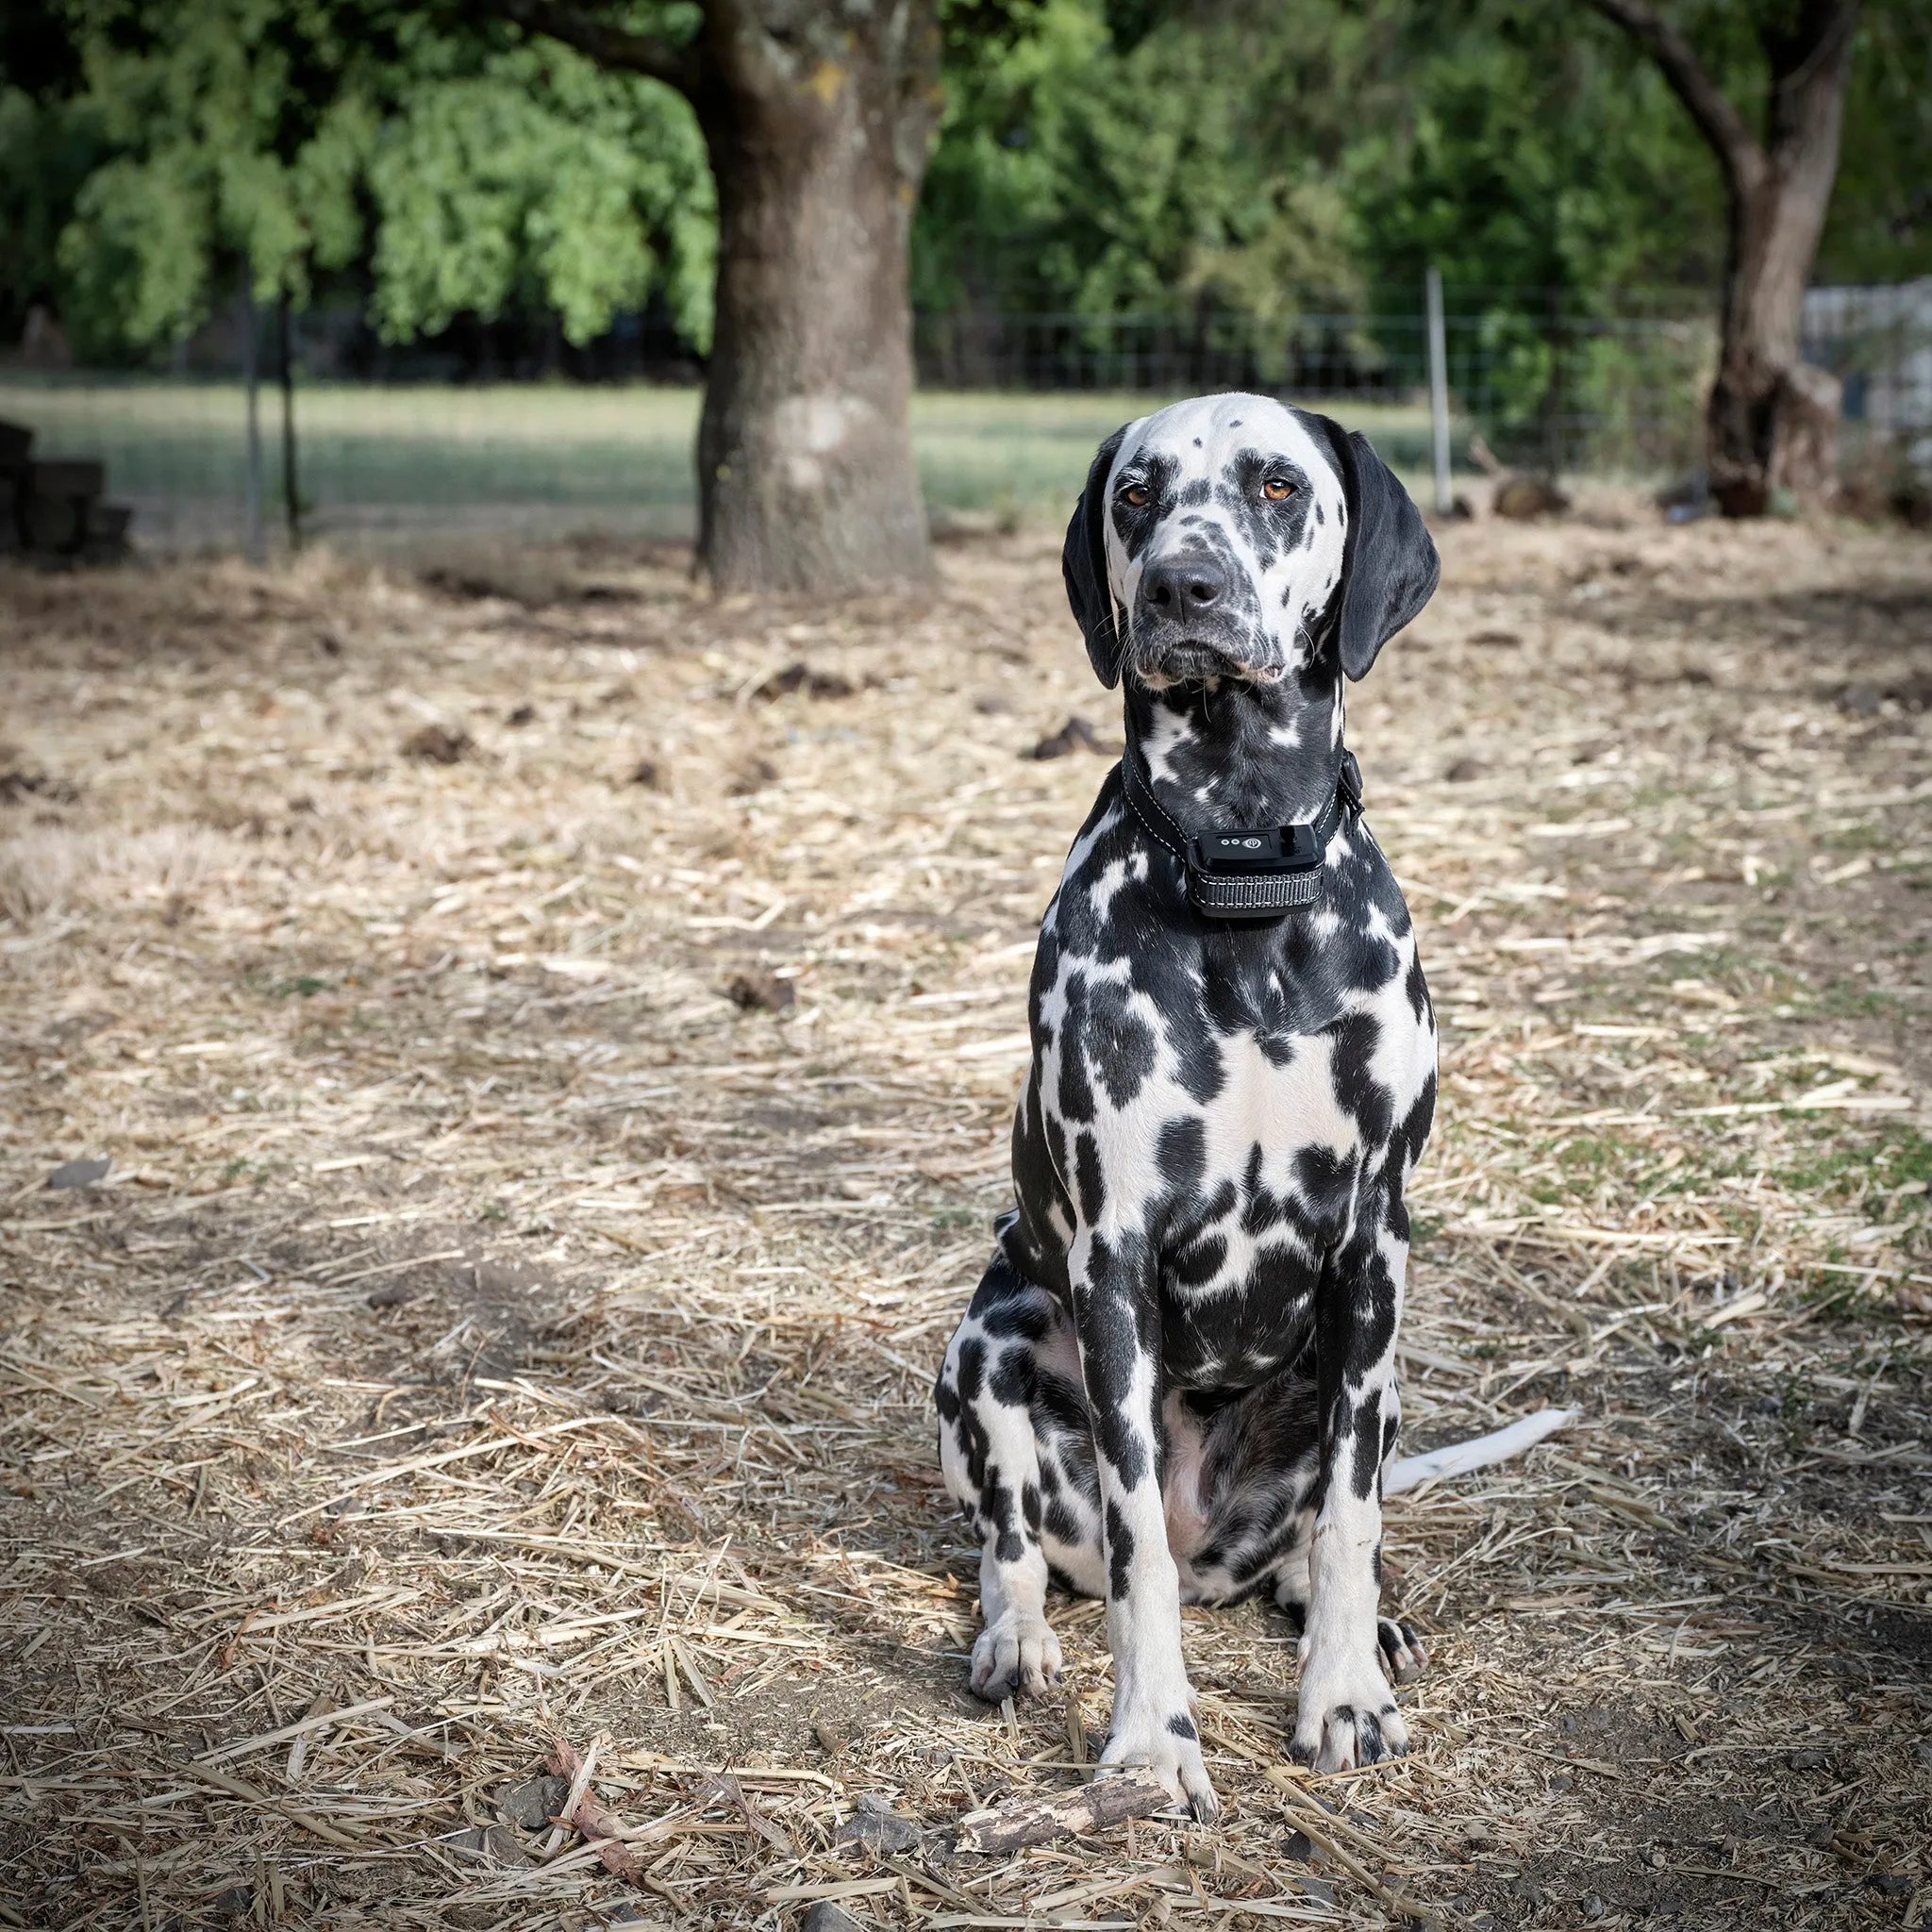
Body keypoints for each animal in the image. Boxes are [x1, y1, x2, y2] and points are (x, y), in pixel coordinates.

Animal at [935, 388, 1453, 1807]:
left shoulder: (1375, 1247)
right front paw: (1151, 1740)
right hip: (984, 1345)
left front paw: (1342, 1693)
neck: (1240, 869)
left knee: (1318, 1523)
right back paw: (1015, 1639)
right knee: (1020, 1546)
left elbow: (1352, 1515)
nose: (1182, 584)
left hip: (1372, 1366)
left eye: (1277, 484)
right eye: (1136, 494)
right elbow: (1132, 1560)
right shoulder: (1113, 1257)